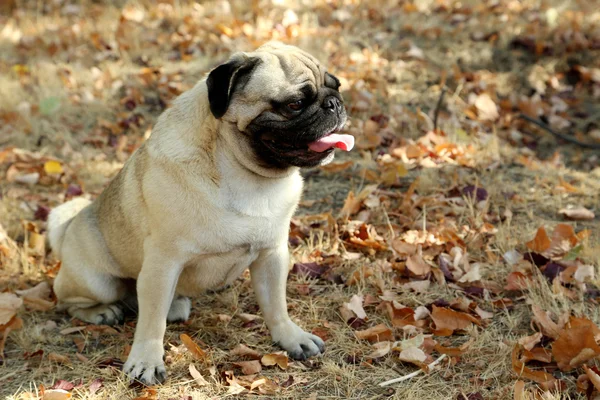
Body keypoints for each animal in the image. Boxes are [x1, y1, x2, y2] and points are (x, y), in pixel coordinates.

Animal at [48, 41, 356, 384]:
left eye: (336, 86)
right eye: (295, 104)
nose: (335, 104)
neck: (245, 175)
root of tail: (70, 226)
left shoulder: (272, 255)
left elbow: (276, 305)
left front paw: (291, 338)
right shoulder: (163, 263)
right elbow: (151, 323)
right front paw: (145, 361)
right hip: (96, 281)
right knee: (70, 302)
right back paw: (102, 311)